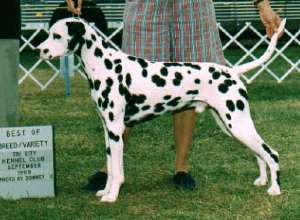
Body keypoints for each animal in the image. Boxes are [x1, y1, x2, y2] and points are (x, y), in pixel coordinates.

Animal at [37, 17, 286, 203]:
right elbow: (111, 166)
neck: (104, 65)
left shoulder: (116, 129)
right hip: (230, 125)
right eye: (49, 34)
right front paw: (105, 191)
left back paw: (275, 189)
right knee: (259, 153)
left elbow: (116, 169)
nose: (39, 50)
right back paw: (262, 180)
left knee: (271, 153)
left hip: (237, 123)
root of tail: (232, 71)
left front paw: (112, 196)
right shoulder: (108, 130)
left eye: (56, 35)